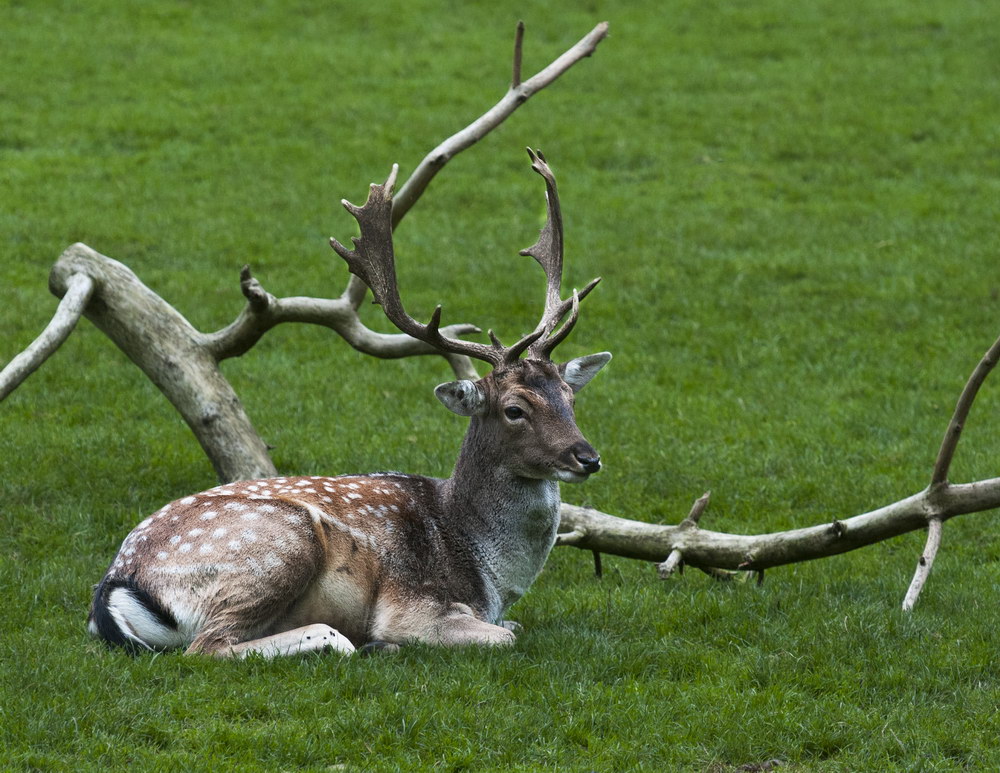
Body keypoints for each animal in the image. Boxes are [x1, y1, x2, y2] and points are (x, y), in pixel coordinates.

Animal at [90, 148, 608, 656]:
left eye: (569, 397)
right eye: (514, 410)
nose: (588, 457)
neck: (491, 578)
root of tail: (114, 587)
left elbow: (515, 626)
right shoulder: (414, 604)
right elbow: (505, 636)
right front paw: (389, 639)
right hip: (279, 542)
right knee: (210, 646)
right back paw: (356, 642)